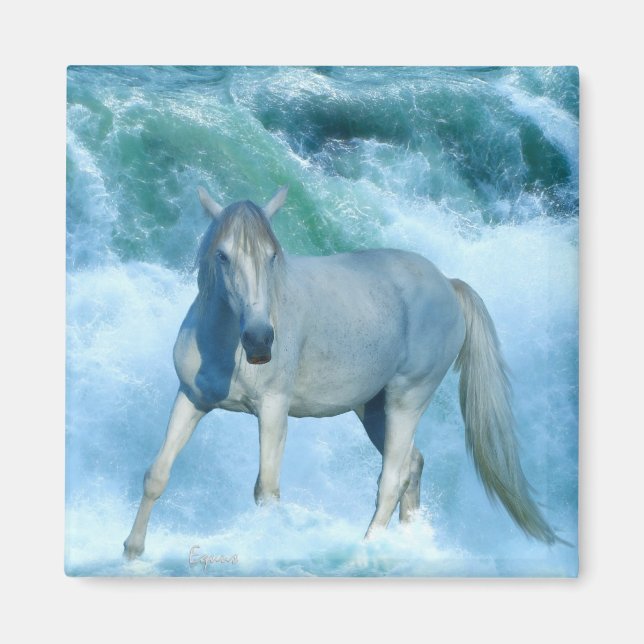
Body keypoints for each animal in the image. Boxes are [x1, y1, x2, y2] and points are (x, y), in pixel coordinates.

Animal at [123, 185, 559, 560]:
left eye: (272, 255)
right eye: (223, 255)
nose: (260, 340)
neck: (223, 343)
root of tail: (448, 284)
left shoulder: (273, 411)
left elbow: (267, 490)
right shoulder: (190, 399)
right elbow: (157, 474)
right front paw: (132, 550)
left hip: (407, 400)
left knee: (392, 479)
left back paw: (364, 555)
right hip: (373, 409)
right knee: (413, 465)